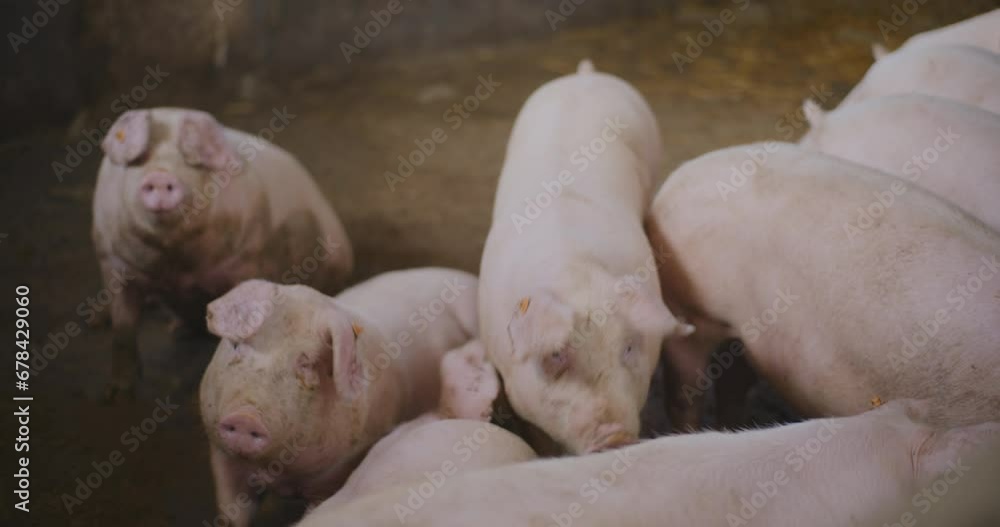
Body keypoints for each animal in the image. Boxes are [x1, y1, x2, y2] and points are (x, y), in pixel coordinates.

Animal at [93, 108, 352, 399]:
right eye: (142, 158)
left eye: (191, 161)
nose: (160, 176)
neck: (175, 265)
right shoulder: (110, 259)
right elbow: (123, 327)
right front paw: (113, 395)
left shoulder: (248, 258)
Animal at [198, 267, 478, 527]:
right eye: (237, 345)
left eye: (308, 363)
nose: (246, 417)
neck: (276, 473)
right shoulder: (222, 457)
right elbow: (232, 510)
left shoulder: (337, 471)